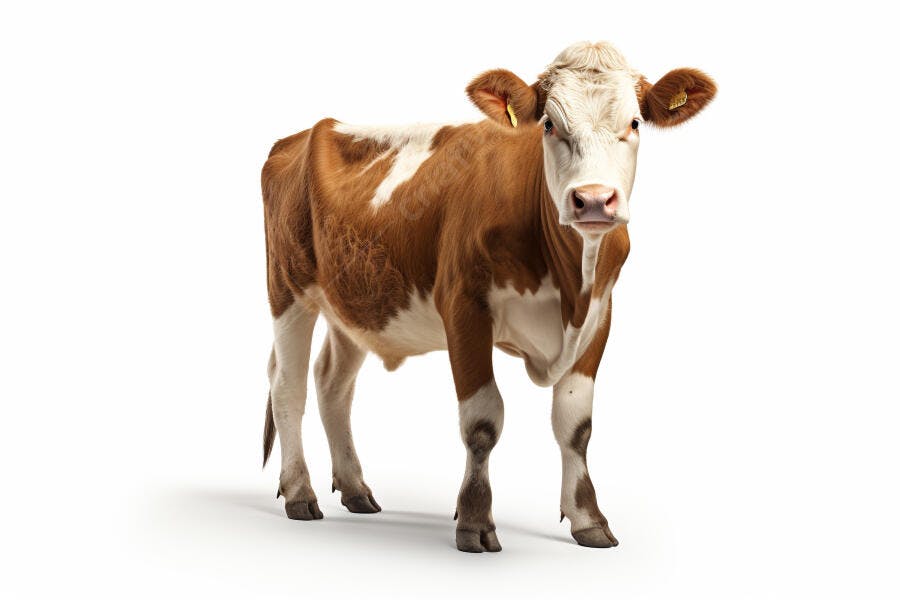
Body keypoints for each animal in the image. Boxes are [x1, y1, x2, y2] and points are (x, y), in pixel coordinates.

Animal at [260, 41, 716, 552]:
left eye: (635, 123)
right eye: (549, 124)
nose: (594, 199)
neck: (569, 286)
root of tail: (301, 135)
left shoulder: (600, 314)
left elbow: (576, 425)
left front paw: (588, 519)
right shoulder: (464, 309)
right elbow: (482, 421)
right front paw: (475, 520)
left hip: (357, 303)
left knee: (332, 383)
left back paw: (356, 489)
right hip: (288, 288)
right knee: (289, 385)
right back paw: (299, 492)